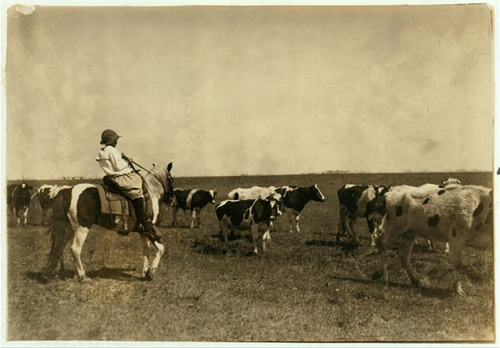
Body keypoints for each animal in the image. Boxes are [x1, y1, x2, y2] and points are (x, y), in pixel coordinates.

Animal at [45, 162, 174, 282]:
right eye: (170, 179)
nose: (171, 199)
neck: (152, 193)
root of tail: (67, 191)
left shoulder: (143, 233)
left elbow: (146, 250)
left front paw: (145, 273)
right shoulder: (151, 231)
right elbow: (161, 249)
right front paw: (151, 272)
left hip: (68, 228)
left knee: (59, 246)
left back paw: (54, 272)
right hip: (81, 228)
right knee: (75, 249)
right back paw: (82, 276)